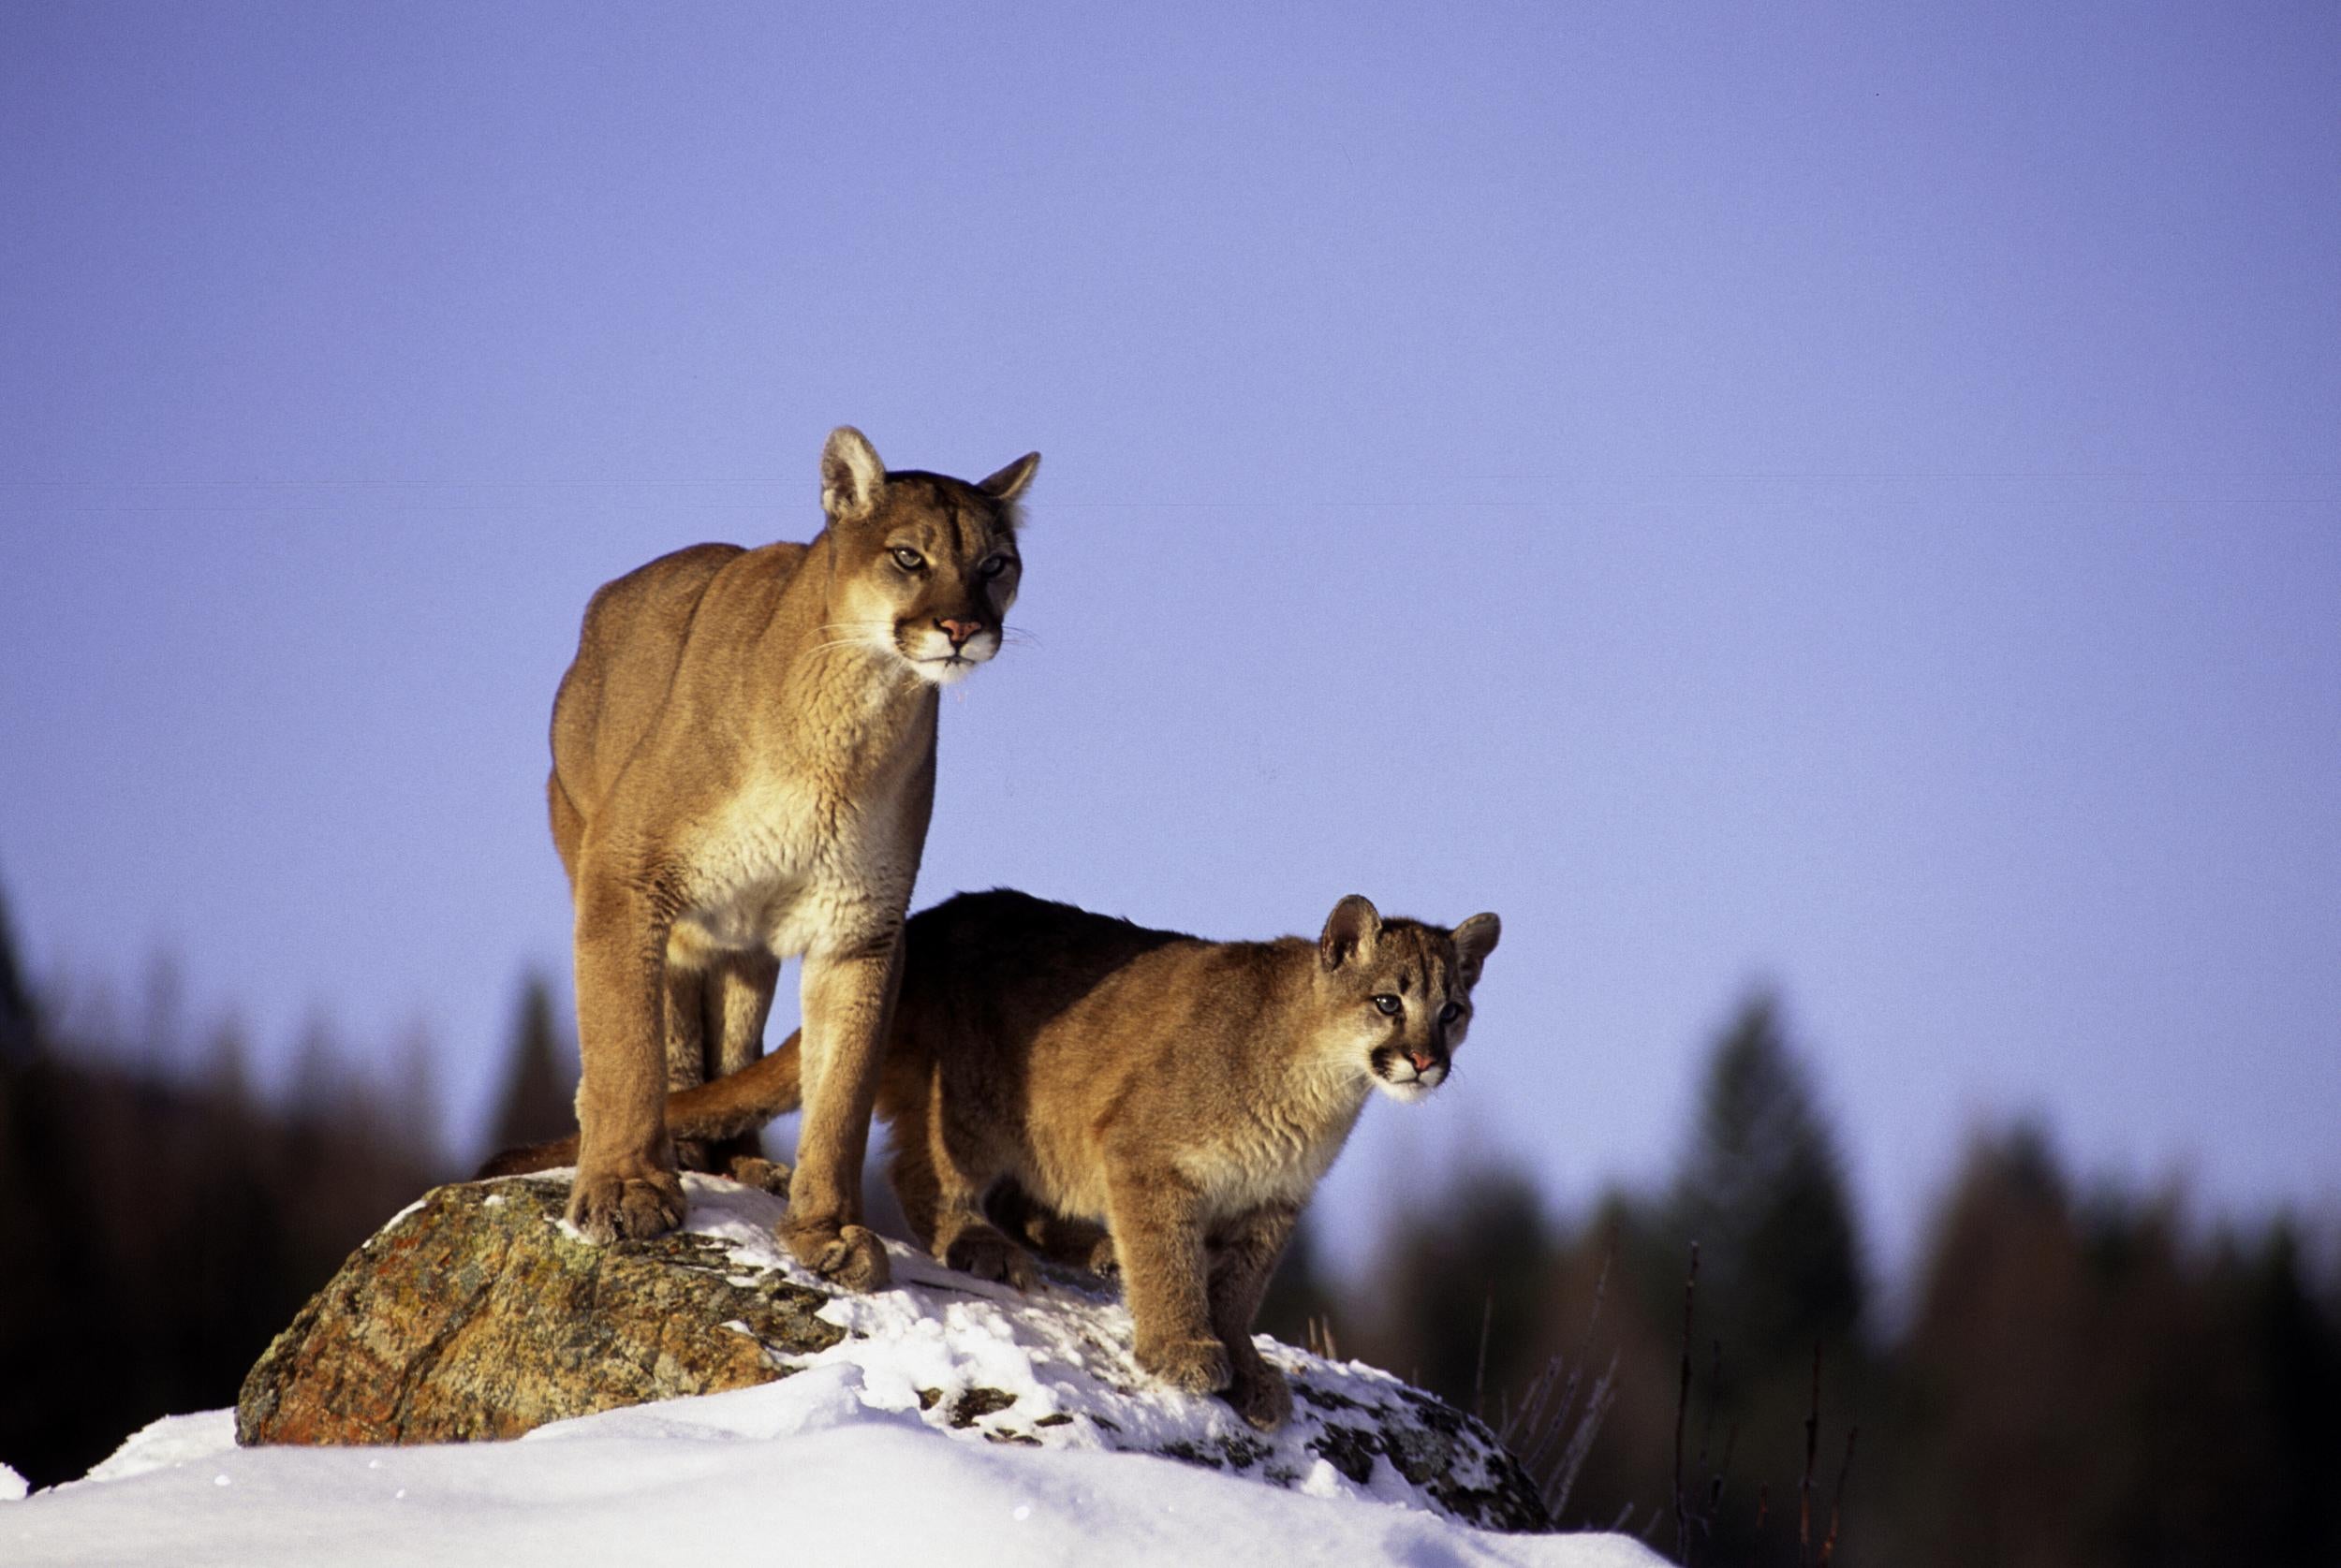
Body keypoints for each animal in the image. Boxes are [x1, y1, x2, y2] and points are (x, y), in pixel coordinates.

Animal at [484, 889, 1498, 1432]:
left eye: (1453, 1009)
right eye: (1387, 1000)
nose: (1426, 1060)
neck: (1319, 1087)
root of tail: (923, 923)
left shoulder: (1267, 1211)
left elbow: (1238, 1292)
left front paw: (1244, 1364)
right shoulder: (1149, 1160)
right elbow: (1174, 1265)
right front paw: (1182, 1348)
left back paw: (1080, 1248)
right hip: (976, 1106)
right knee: (922, 1175)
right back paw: (986, 1246)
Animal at [548, 431, 1035, 1292]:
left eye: (996, 563)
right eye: (909, 556)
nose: (960, 626)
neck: (854, 715)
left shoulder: (860, 924)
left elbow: (841, 1088)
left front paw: (827, 1229)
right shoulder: (627, 873)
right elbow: (626, 1042)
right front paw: (625, 1187)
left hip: (746, 939)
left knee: (733, 1040)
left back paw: (743, 1162)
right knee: (672, 1029)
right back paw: (677, 1149)